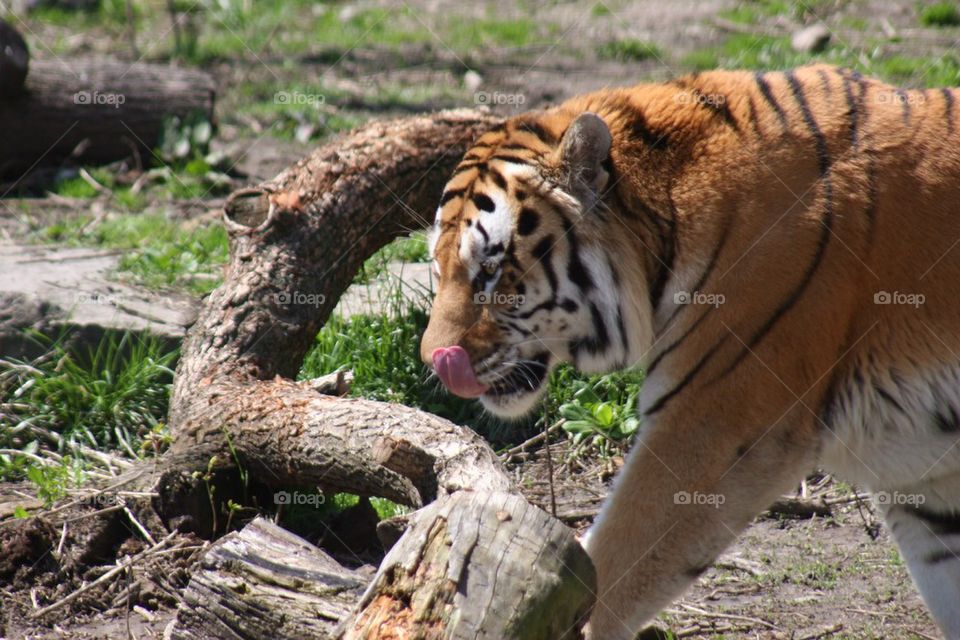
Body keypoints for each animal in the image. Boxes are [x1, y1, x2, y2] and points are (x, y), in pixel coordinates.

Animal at [420, 61, 960, 640]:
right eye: (438, 264)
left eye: (491, 269)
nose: (433, 361)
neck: (670, 214)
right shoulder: (925, 479)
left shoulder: (714, 422)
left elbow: (612, 562)